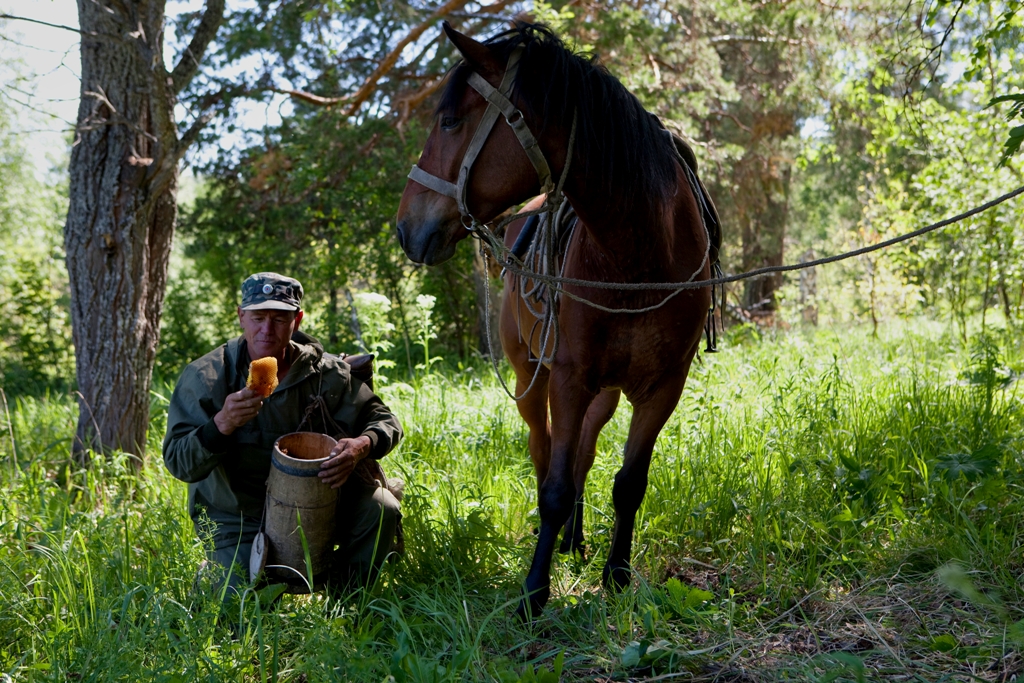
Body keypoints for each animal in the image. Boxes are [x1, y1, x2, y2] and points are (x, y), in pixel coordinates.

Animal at [395, 22, 716, 618]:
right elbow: (555, 487)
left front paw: (617, 574)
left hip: (605, 392)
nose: (406, 227)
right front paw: (533, 591)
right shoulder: (568, 379)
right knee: (545, 451)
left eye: (449, 121)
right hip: (532, 376)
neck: (639, 258)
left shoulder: (663, 387)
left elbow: (628, 482)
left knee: (584, 454)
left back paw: (578, 539)